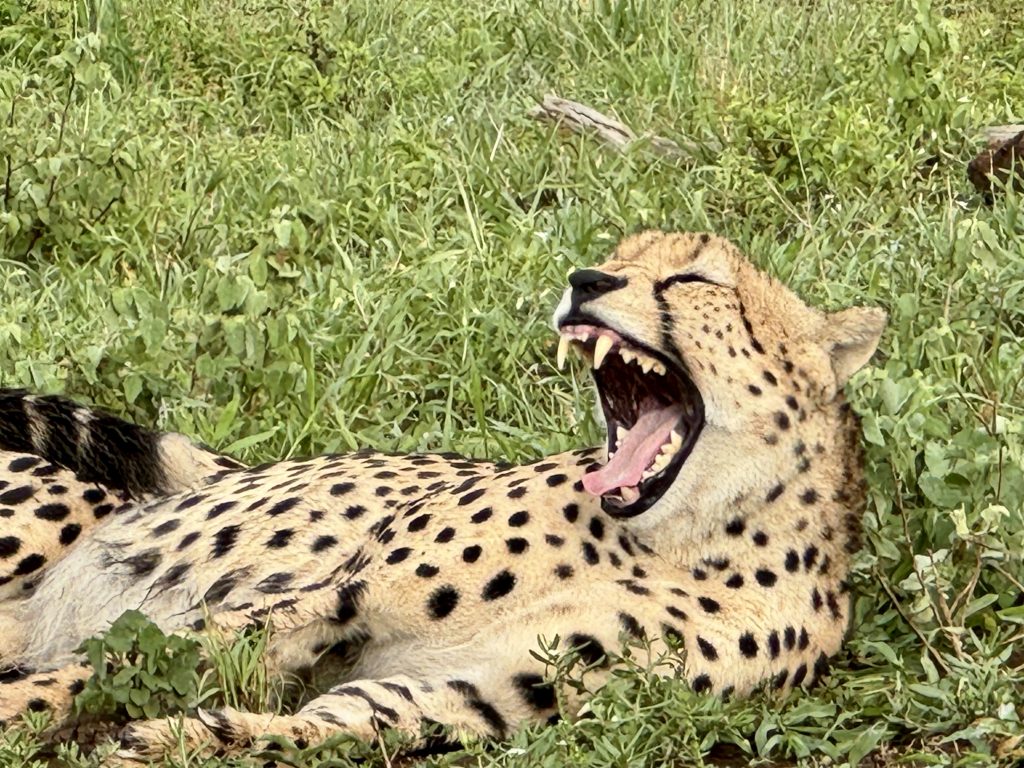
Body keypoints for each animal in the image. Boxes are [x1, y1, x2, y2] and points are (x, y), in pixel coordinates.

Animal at [0, 230, 886, 761]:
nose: (586, 278)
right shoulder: (347, 592)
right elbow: (133, 656)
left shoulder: (488, 690)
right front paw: (34, 710)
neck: (682, 539)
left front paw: (195, 738)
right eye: (617, 253)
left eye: (694, 275)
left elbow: (336, 730)